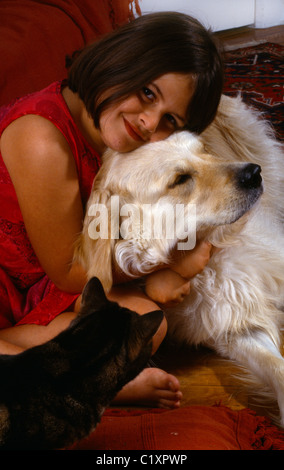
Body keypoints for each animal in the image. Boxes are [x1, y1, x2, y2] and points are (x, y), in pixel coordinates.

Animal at [74, 94, 284, 422]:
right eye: (180, 179)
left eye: (204, 151)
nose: (254, 172)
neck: (206, 261)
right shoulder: (233, 326)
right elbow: (277, 369)